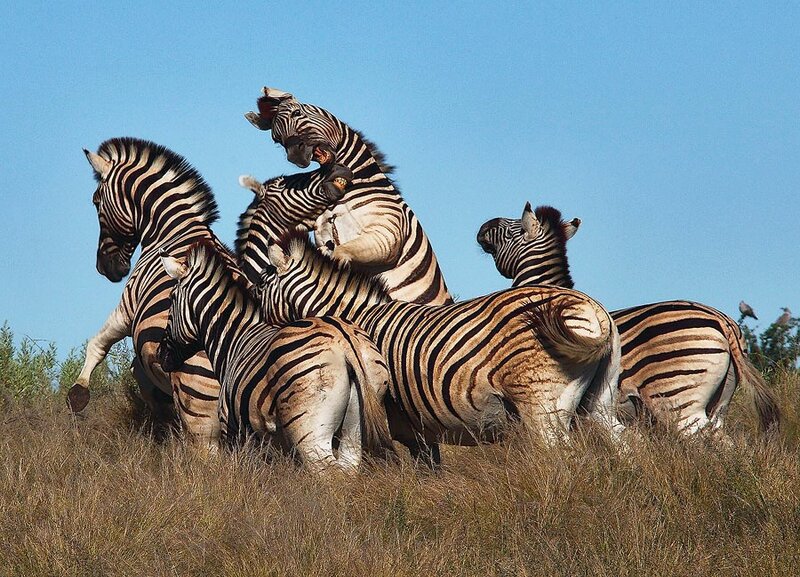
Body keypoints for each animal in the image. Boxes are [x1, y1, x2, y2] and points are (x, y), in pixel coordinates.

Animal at [72, 137, 243, 451]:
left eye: (95, 201)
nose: (105, 268)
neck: (171, 227)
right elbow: (140, 375)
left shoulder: (128, 307)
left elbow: (98, 343)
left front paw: (78, 393)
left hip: (199, 411)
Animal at [158, 241, 394, 471]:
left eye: (171, 299)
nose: (161, 355)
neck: (234, 339)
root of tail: (344, 340)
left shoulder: (235, 430)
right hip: (356, 424)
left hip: (310, 430)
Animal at [245, 87, 452, 306]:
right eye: (276, 139)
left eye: (297, 113)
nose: (295, 156)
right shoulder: (323, 233)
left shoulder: (387, 234)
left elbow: (340, 252)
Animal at [255, 230, 625, 465]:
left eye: (260, 287)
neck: (354, 318)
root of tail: (594, 311)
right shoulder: (419, 429)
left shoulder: (392, 422)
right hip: (599, 401)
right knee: (625, 444)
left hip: (541, 405)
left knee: (565, 456)